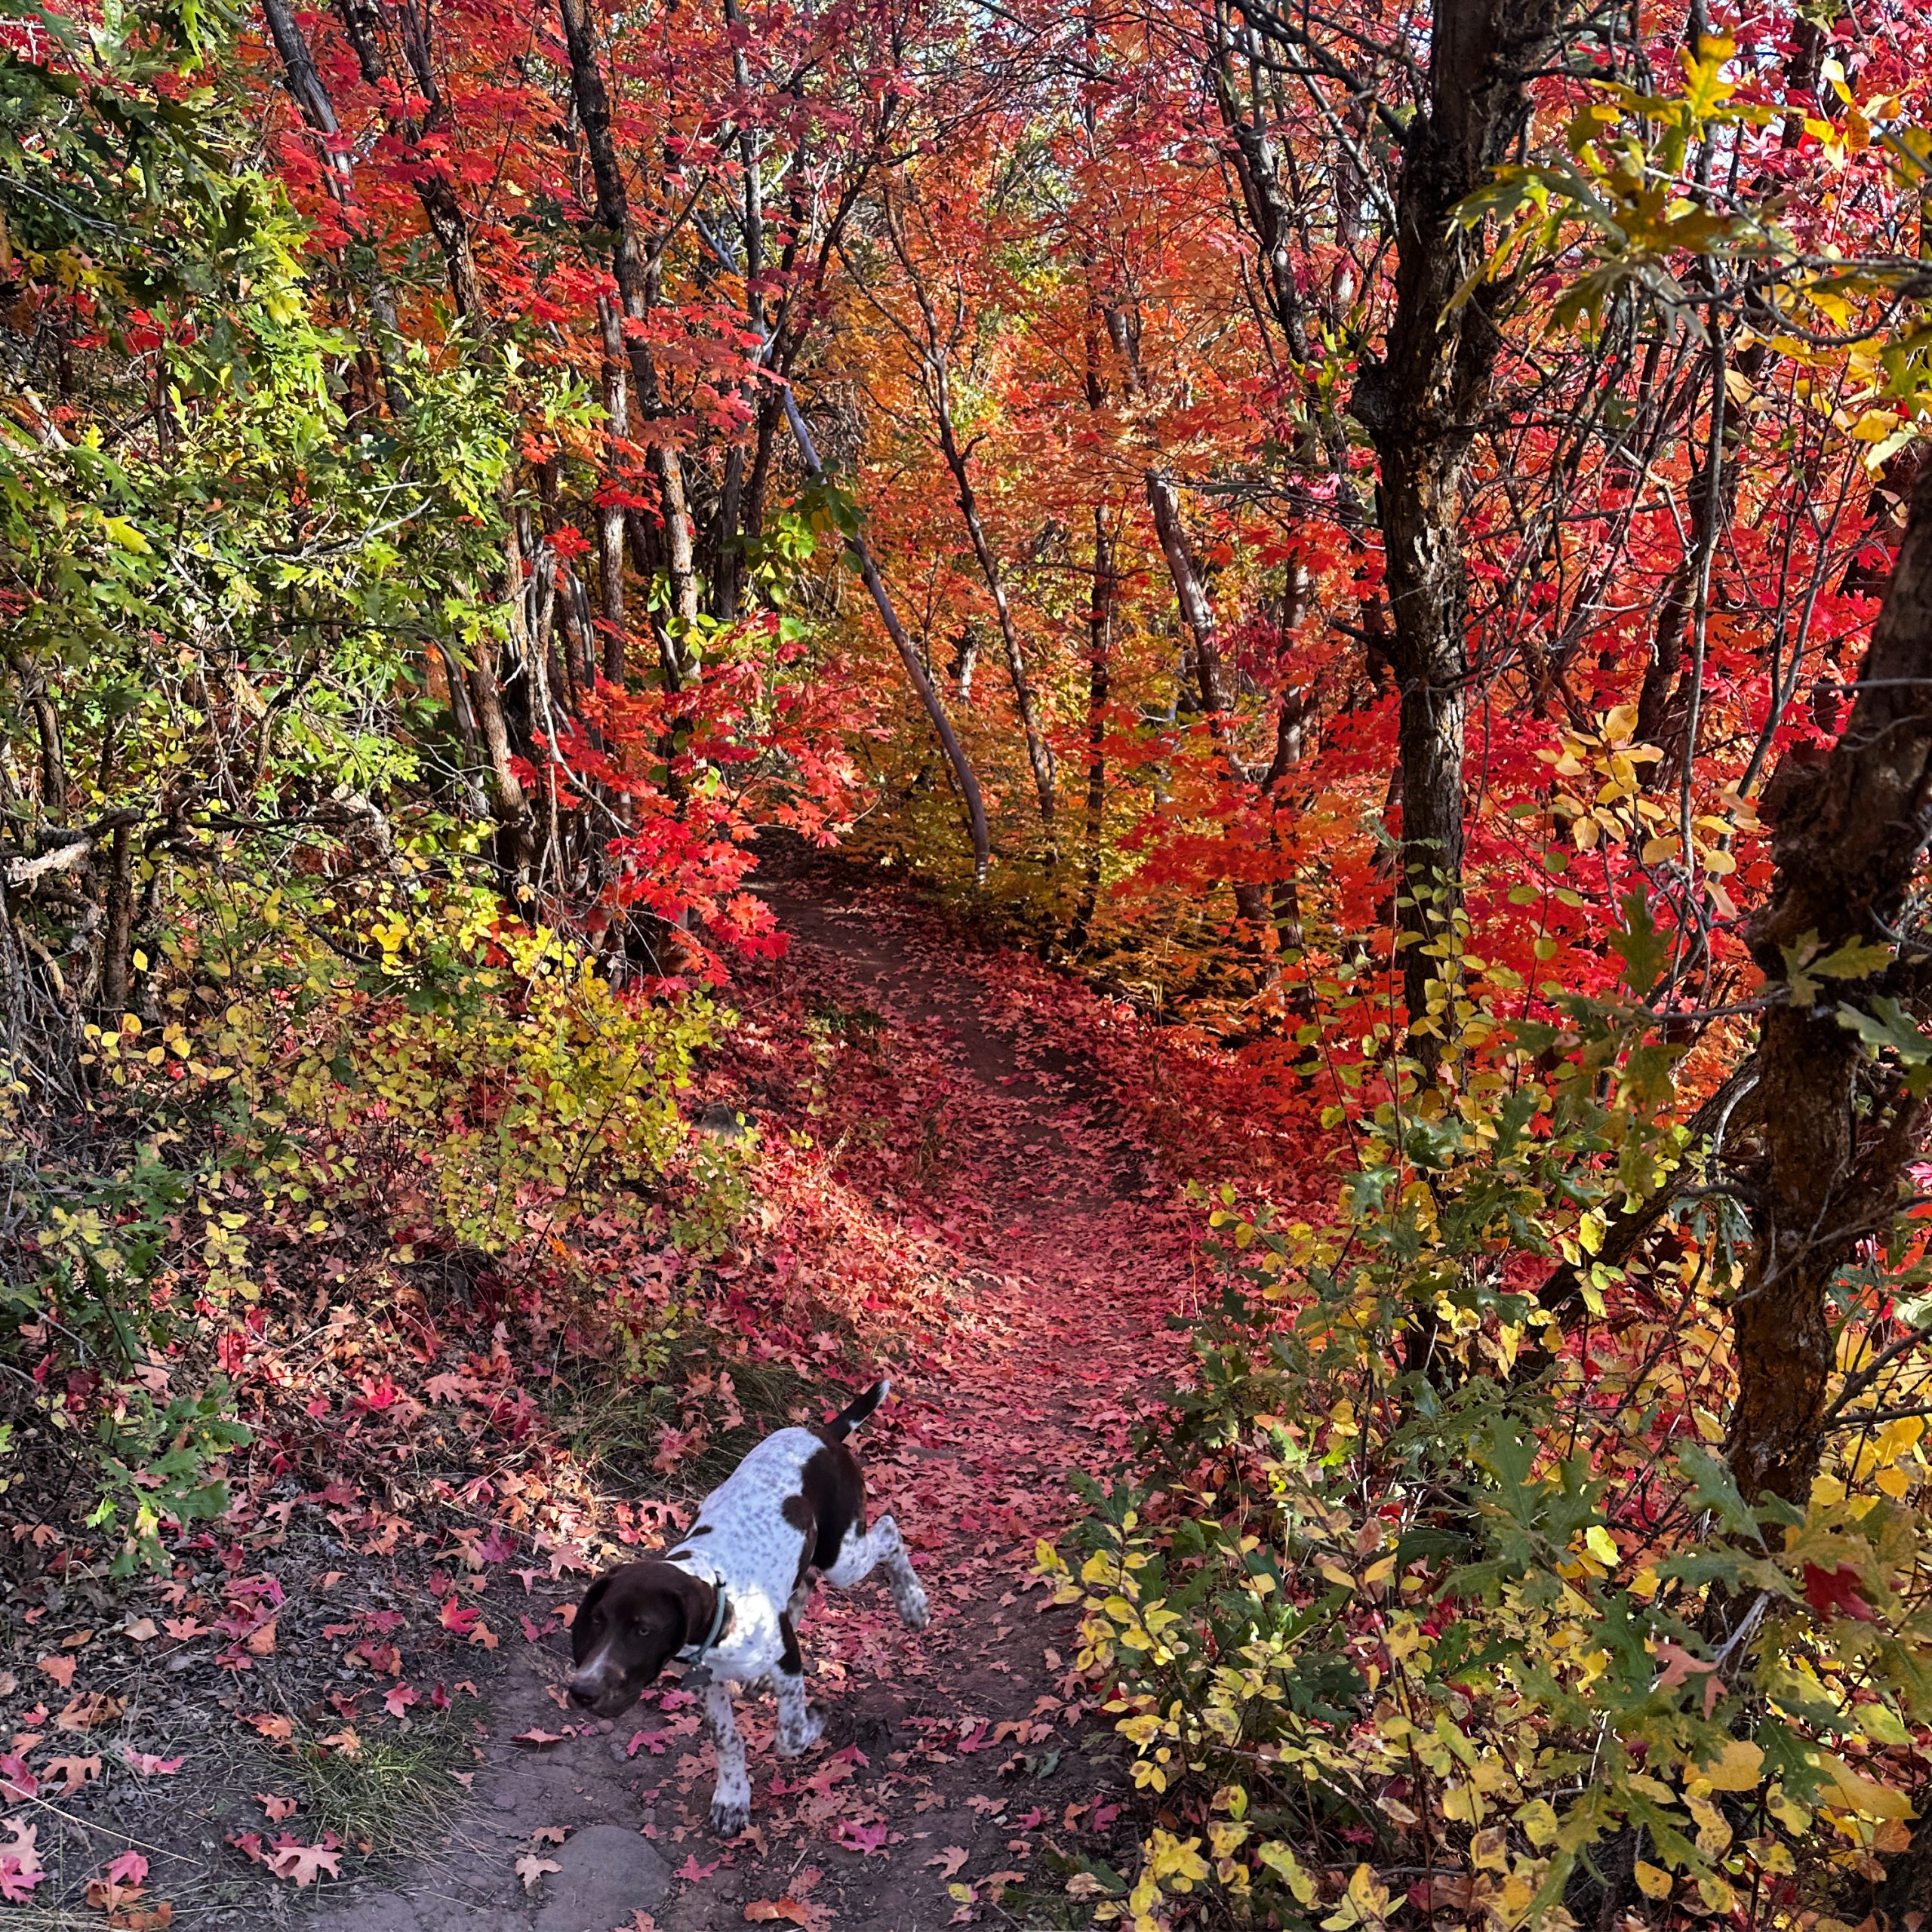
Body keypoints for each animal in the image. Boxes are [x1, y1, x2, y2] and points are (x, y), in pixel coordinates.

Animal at [564, 1375, 927, 1823]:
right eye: (597, 1620)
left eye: (644, 1630)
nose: (582, 1691)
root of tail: (823, 1434)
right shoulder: (708, 1684)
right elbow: (728, 1740)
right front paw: (733, 1796)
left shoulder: (785, 1659)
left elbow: (790, 1734)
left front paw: (814, 1718)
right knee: (803, 1584)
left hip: (842, 1557)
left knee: (889, 1532)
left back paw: (913, 1602)